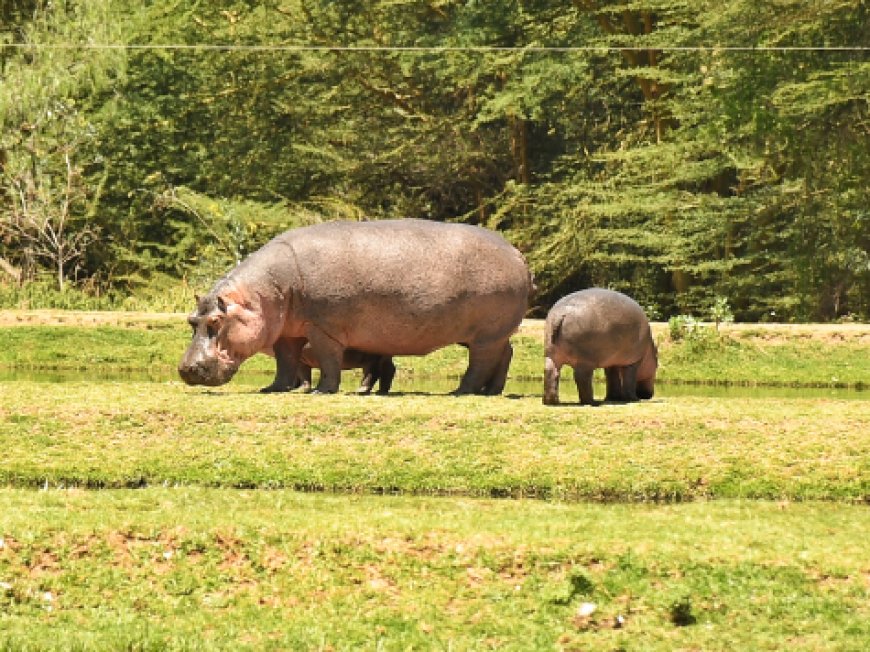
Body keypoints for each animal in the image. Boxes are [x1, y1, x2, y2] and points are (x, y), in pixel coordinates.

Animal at [178, 219, 536, 394]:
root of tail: (517, 253)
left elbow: (327, 361)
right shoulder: (286, 332)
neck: (261, 295)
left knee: (481, 363)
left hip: (485, 335)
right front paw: (273, 389)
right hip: (486, 334)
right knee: (506, 354)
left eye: (215, 322)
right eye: (191, 320)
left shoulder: (323, 329)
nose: (185, 369)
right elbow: (286, 362)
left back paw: (461, 392)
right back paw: (491, 392)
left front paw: (322, 392)